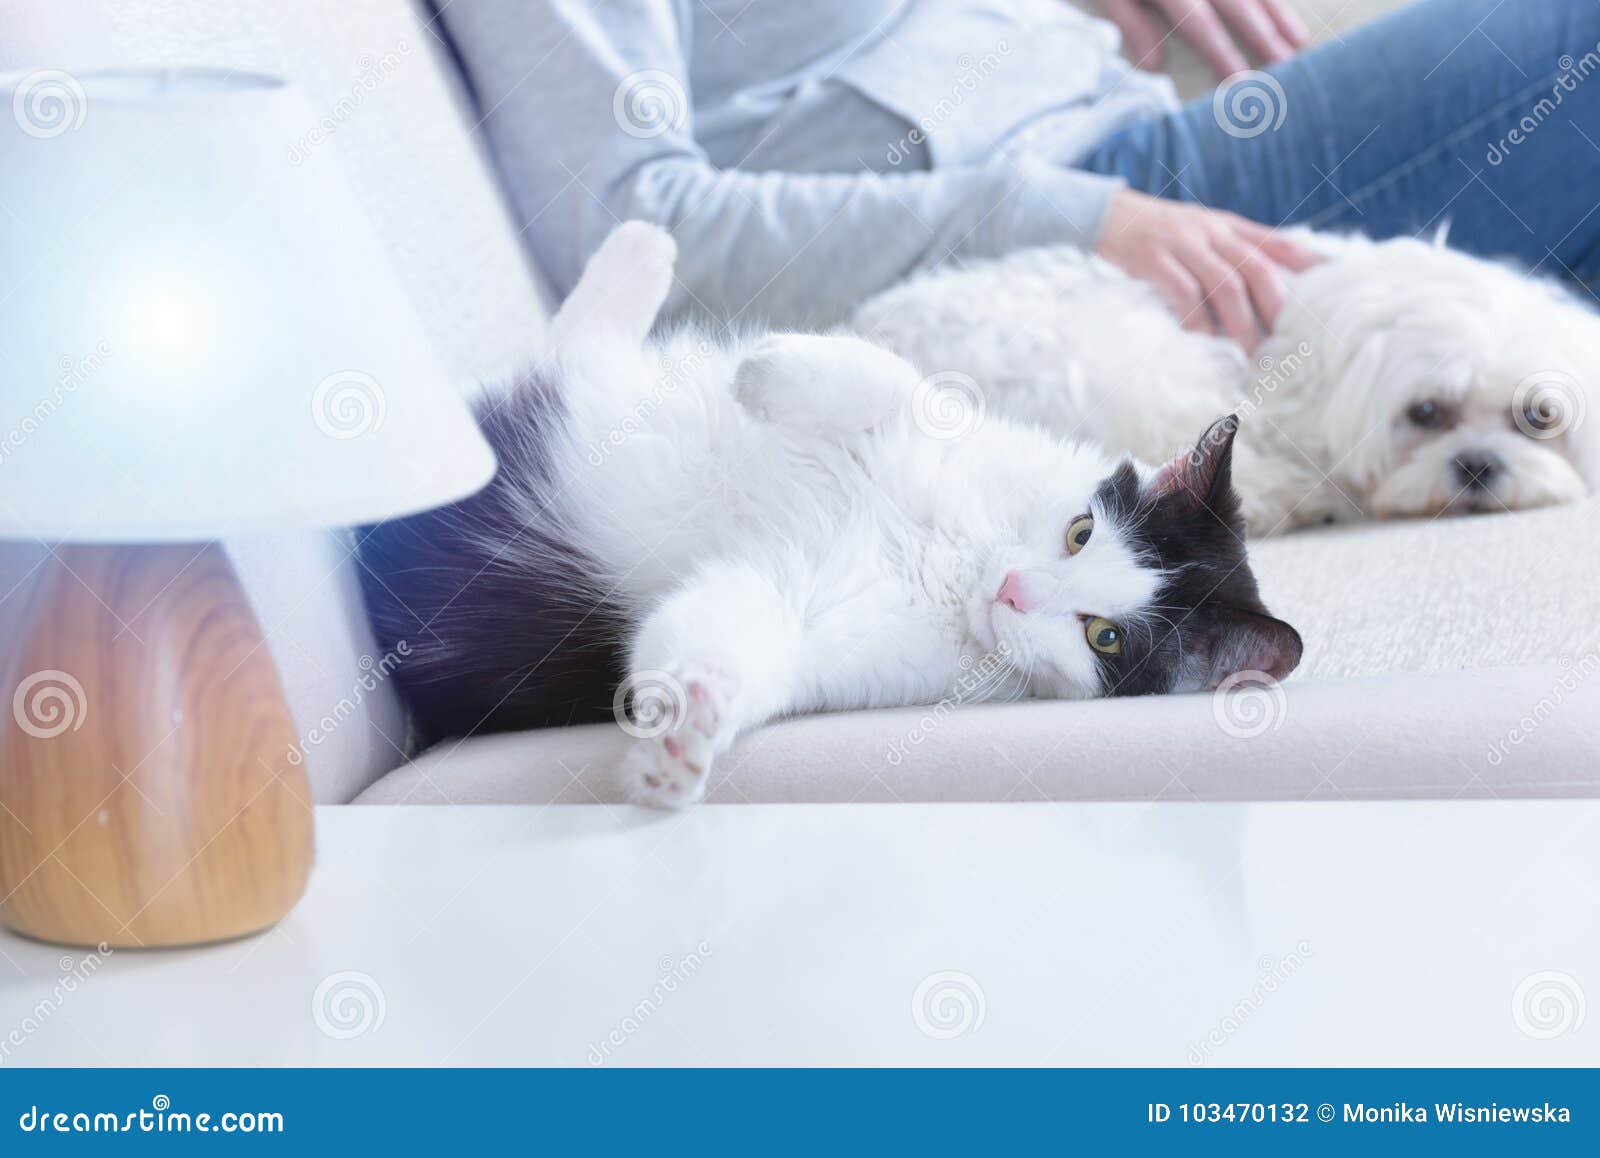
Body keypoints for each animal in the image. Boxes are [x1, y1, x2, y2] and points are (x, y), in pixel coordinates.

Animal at [363, 223, 1299, 806]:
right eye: (1080, 531)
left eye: (1104, 637)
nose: (1013, 591)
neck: (956, 554)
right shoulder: (942, 425)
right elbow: (891, 379)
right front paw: (766, 372)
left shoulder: (809, 621)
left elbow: (728, 631)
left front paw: (685, 740)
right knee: (570, 349)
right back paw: (641, 252)